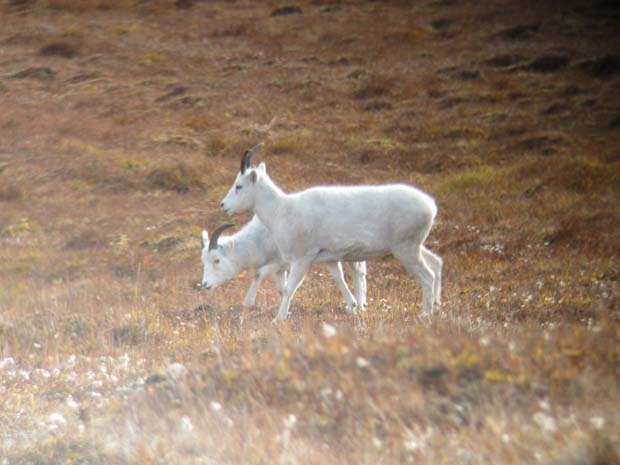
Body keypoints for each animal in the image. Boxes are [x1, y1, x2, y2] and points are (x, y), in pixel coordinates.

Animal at [202, 215, 368, 312]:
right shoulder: (281, 269)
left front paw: (247, 303)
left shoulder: (281, 263)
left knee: (358, 271)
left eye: (216, 260)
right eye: (203, 261)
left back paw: (360, 306)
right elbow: (282, 289)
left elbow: (258, 274)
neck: (262, 238)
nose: (205, 285)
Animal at [220, 143, 444, 320]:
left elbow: (290, 288)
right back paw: (436, 308)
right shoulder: (330, 259)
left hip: (406, 250)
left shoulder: (302, 259)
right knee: (436, 263)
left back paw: (425, 314)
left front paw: (278, 319)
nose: (224, 205)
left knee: (427, 276)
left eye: (239, 186)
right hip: (415, 247)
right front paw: (354, 307)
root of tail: (430, 206)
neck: (283, 210)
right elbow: (339, 279)